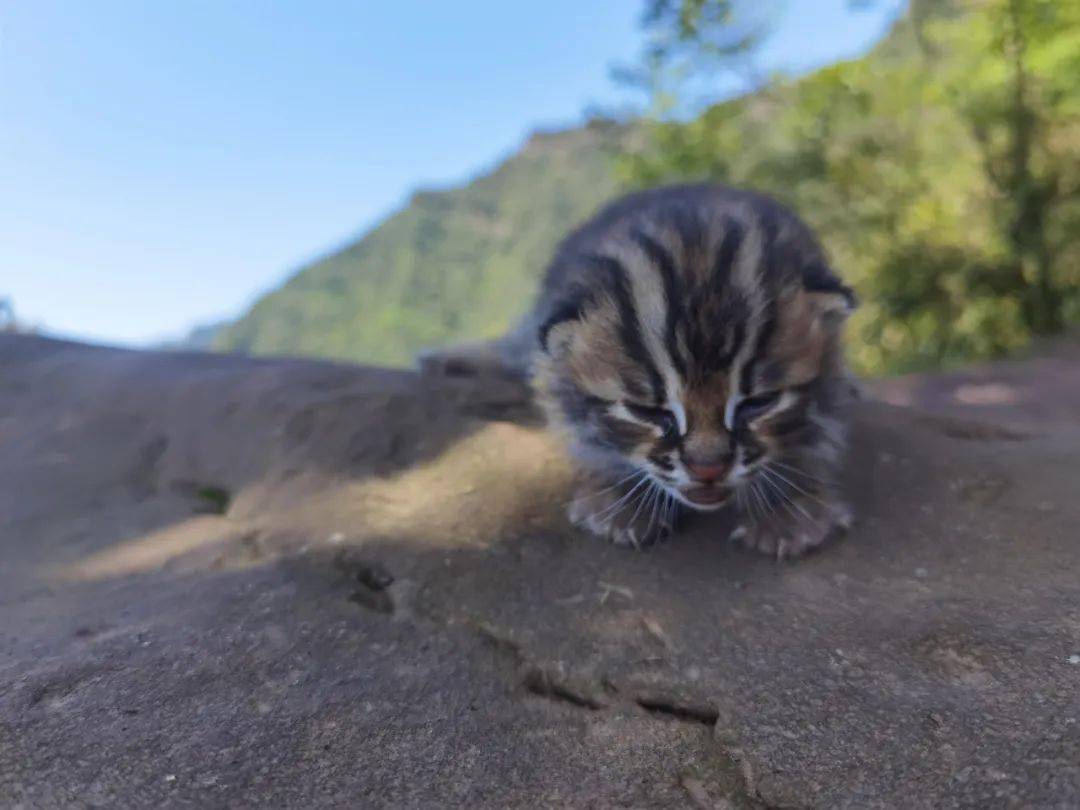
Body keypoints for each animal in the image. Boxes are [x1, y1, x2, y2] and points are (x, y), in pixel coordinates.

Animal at [419, 186, 851, 561]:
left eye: (759, 403)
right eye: (647, 412)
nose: (707, 469)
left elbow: (817, 434)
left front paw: (789, 507)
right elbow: (584, 432)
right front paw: (620, 499)